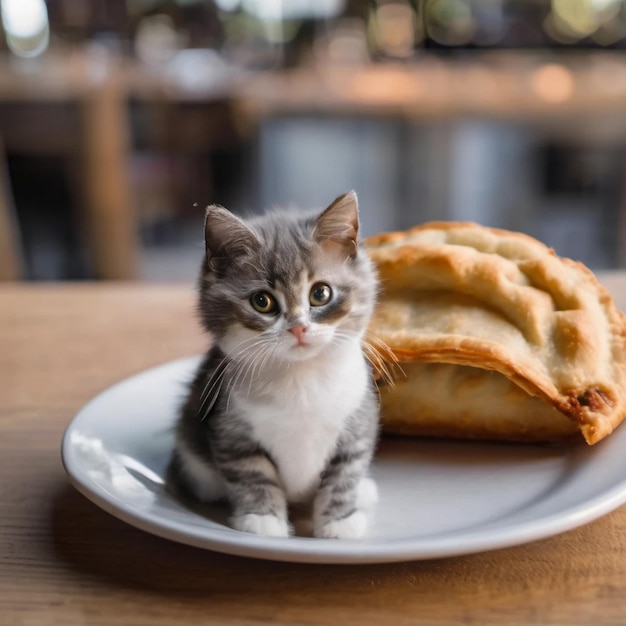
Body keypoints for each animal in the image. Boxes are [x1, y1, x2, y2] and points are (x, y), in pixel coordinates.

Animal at [166, 190, 378, 536]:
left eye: (321, 293)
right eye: (262, 301)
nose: (299, 328)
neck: (301, 377)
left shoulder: (358, 418)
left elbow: (345, 472)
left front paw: (340, 522)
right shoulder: (231, 428)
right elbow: (251, 473)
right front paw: (263, 520)